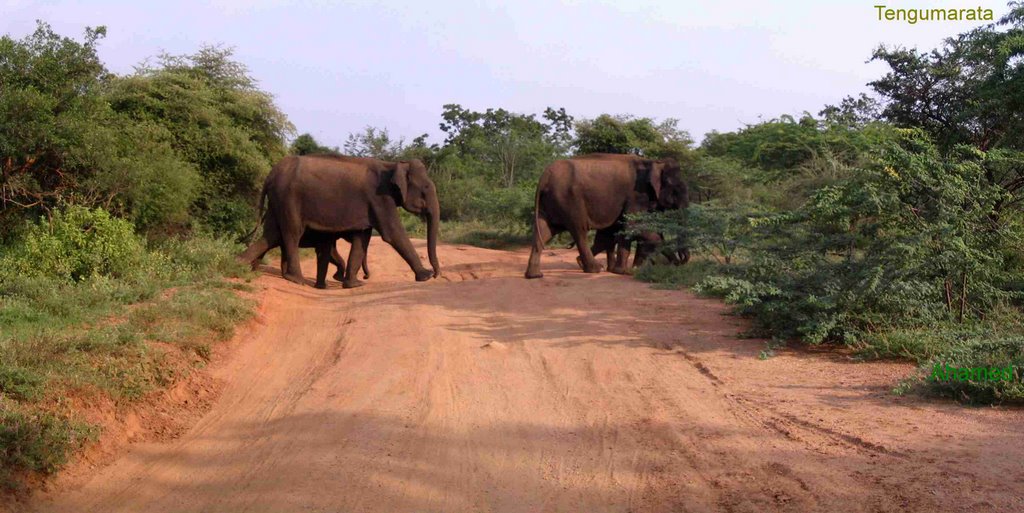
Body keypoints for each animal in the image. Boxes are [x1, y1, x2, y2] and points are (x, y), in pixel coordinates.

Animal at [238, 153, 440, 288]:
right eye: (426, 188)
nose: (437, 274)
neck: (392, 165)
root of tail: (271, 174)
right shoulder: (380, 198)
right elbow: (393, 233)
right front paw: (425, 276)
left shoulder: (372, 203)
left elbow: (362, 238)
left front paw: (353, 284)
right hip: (289, 197)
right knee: (292, 233)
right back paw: (297, 280)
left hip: (277, 199)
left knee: (271, 234)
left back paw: (241, 264)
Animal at [524, 152, 684, 280]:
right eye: (675, 188)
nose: (680, 262)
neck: (654, 162)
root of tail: (544, 177)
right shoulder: (637, 195)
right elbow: (631, 227)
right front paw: (624, 272)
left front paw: (626, 270)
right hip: (569, 200)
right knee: (579, 230)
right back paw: (595, 269)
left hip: (550, 201)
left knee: (544, 231)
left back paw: (535, 275)